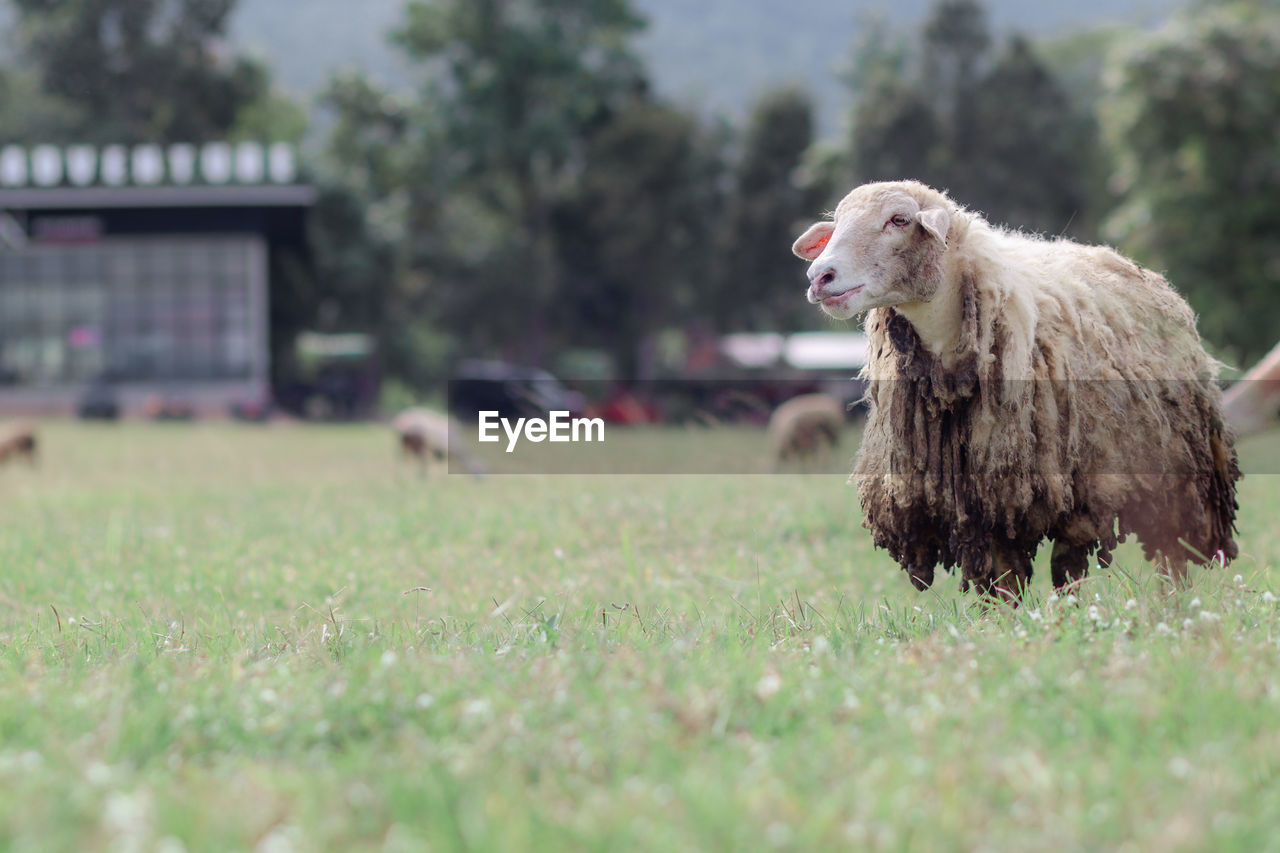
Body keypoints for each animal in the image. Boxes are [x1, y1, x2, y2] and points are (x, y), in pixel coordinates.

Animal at [788, 178, 1239, 596]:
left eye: (899, 220)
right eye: (837, 222)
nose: (818, 276)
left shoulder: (1055, 485)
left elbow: (1058, 571)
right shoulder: (980, 502)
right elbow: (1003, 582)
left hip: (1175, 472)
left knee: (1165, 555)